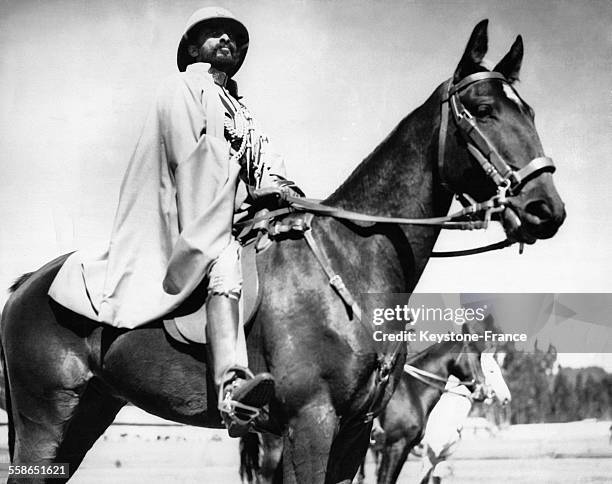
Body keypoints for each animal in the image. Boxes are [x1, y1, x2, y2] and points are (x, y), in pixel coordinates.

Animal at [0, 19, 564, 484]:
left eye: (531, 112)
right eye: (485, 111)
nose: (546, 208)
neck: (350, 263)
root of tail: (28, 283)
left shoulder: (353, 437)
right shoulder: (310, 424)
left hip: (87, 415)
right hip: (45, 421)